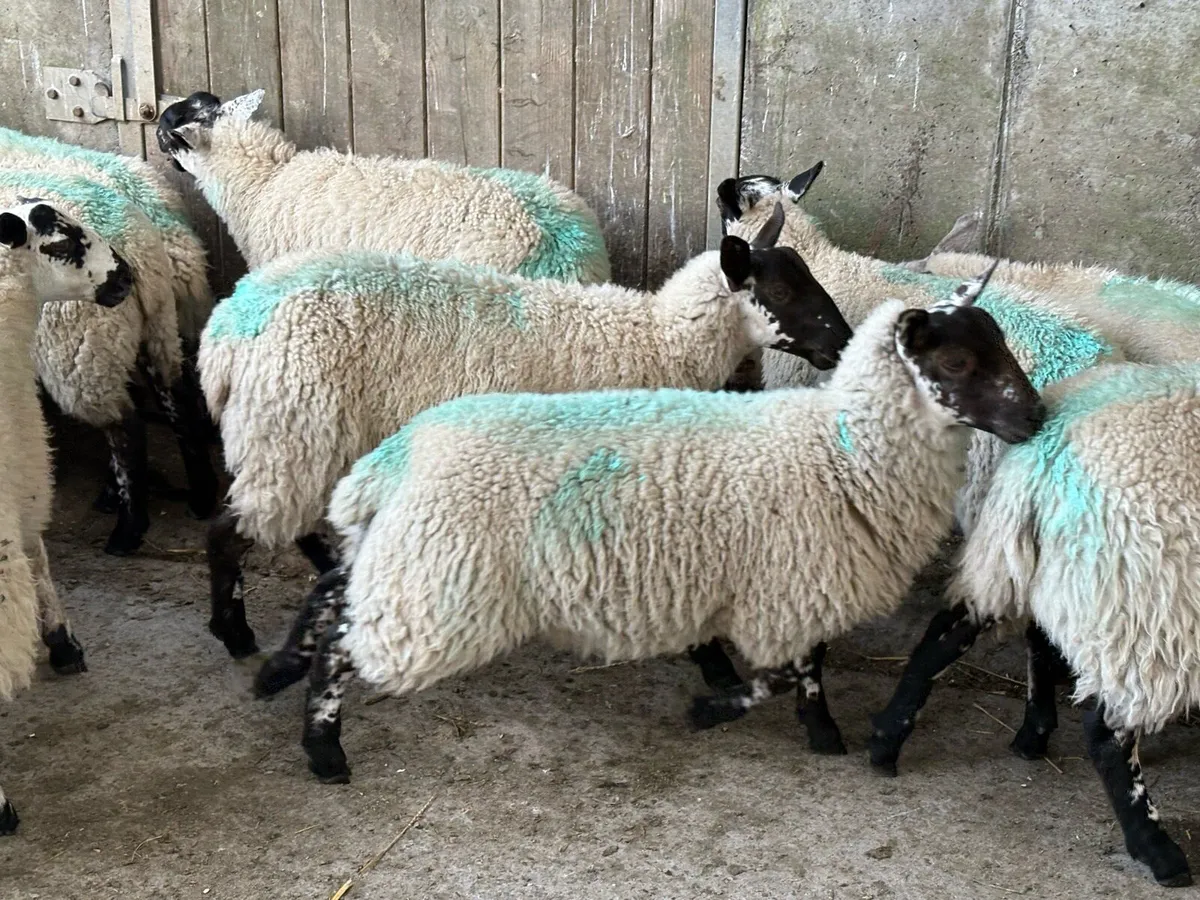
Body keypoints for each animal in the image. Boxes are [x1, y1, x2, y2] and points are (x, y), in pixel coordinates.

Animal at [0, 166, 219, 555]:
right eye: (61, 246)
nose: (122, 275)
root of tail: (141, 250)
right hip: (157, 328)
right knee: (176, 397)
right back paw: (201, 497)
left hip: (82, 354)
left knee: (125, 426)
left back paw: (127, 530)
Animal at [202, 203, 852, 661]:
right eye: (782, 290)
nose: (844, 343)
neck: (657, 339)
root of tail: (223, 336)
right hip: (289, 427)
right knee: (230, 531)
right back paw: (234, 635)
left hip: (295, 438)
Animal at [261, 263, 1045, 784]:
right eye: (956, 359)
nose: (1037, 418)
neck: (841, 447)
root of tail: (394, 459)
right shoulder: (789, 585)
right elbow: (781, 674)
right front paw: (715, 708)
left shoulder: (799, 584)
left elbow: (806, 669)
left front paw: (820, 732)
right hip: (433, 595)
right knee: (344, 640)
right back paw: (323, 748)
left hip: (403, 561)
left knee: (333, 591)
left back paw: (277, 671)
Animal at [866, 361, 1200, 888]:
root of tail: (1045, 453)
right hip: (1146, 603)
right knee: (1107, 730)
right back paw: (1157, 851)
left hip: (1010, 561)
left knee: (950, 631)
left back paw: (887, 741)